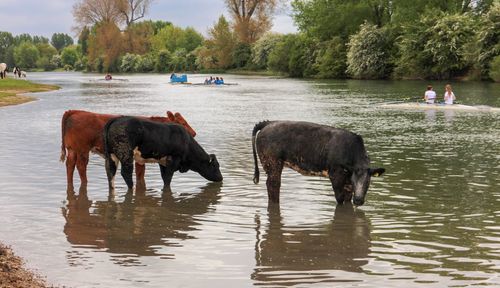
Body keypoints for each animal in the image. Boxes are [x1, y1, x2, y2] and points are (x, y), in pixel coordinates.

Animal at [60, 109, 195, 191]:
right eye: (183, 123)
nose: (193, 133)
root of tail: (75, 111)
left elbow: (140, 175)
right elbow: (140, 175)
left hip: (72, 150)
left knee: (70, 165)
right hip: (82, 150)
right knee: (80, 166)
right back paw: (85, 183)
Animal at [252, 120, 384, 206]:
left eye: (368, 182)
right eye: (354, 180)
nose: (358, 201)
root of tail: (269, 123)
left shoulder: (347, 183)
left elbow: (347, 199)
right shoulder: (336, 176)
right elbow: (340, 198)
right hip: (272, 163)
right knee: (273, 185)